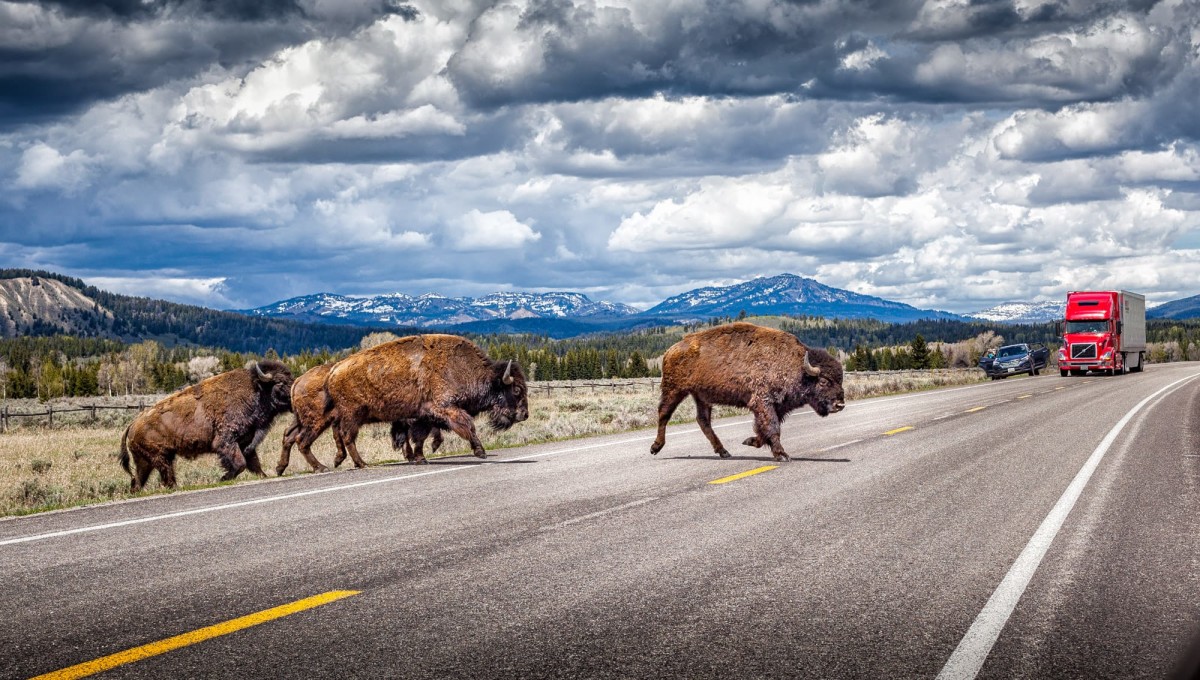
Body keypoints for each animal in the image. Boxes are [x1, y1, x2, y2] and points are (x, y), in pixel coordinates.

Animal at [120, 359, 294, 491]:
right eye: (280, 382)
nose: (295, 393)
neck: (256, 389)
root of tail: (132, 424)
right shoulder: (226, 443)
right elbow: (240, 464)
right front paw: (223, 478)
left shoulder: (245, 443)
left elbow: (254, 465)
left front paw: (264, 476)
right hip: (160, 458)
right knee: (166, 477)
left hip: (146, 461)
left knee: (138, 481)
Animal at [321, 333, 528, 465]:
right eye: (517, 389)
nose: (524, 414)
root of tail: (334, 370)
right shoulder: (446, 408)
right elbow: (469, 426)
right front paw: (481, 452)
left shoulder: (424, 416)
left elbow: (420, 437)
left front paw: (421, 458)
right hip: (353, 415)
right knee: (348, 436)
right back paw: (361, 463)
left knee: (339, 433)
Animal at [648, 323, 844, 462]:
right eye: (824, 381)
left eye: (841, 380)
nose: (840, 404)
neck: (798, 368)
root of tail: (671, 350)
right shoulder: (763, 403)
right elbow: (772, 428)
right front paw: (782, 455)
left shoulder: (776, 407)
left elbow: (764, 430)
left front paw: (750, 441)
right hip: (674, 389)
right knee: (664, 413)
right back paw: (655, 447)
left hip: (701, 396)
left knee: (703, 421)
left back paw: (724, 451)